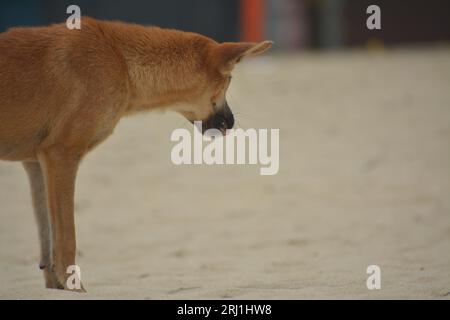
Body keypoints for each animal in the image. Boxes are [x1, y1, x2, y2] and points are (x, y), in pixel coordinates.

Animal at [0, 17, 272, 292]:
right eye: (228, 81)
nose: (231, 123)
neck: (120, 61)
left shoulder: (36, 163)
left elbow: (47, 242)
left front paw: (58, 287)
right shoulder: (62, 154)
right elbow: (67, 241)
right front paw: (76, 289)